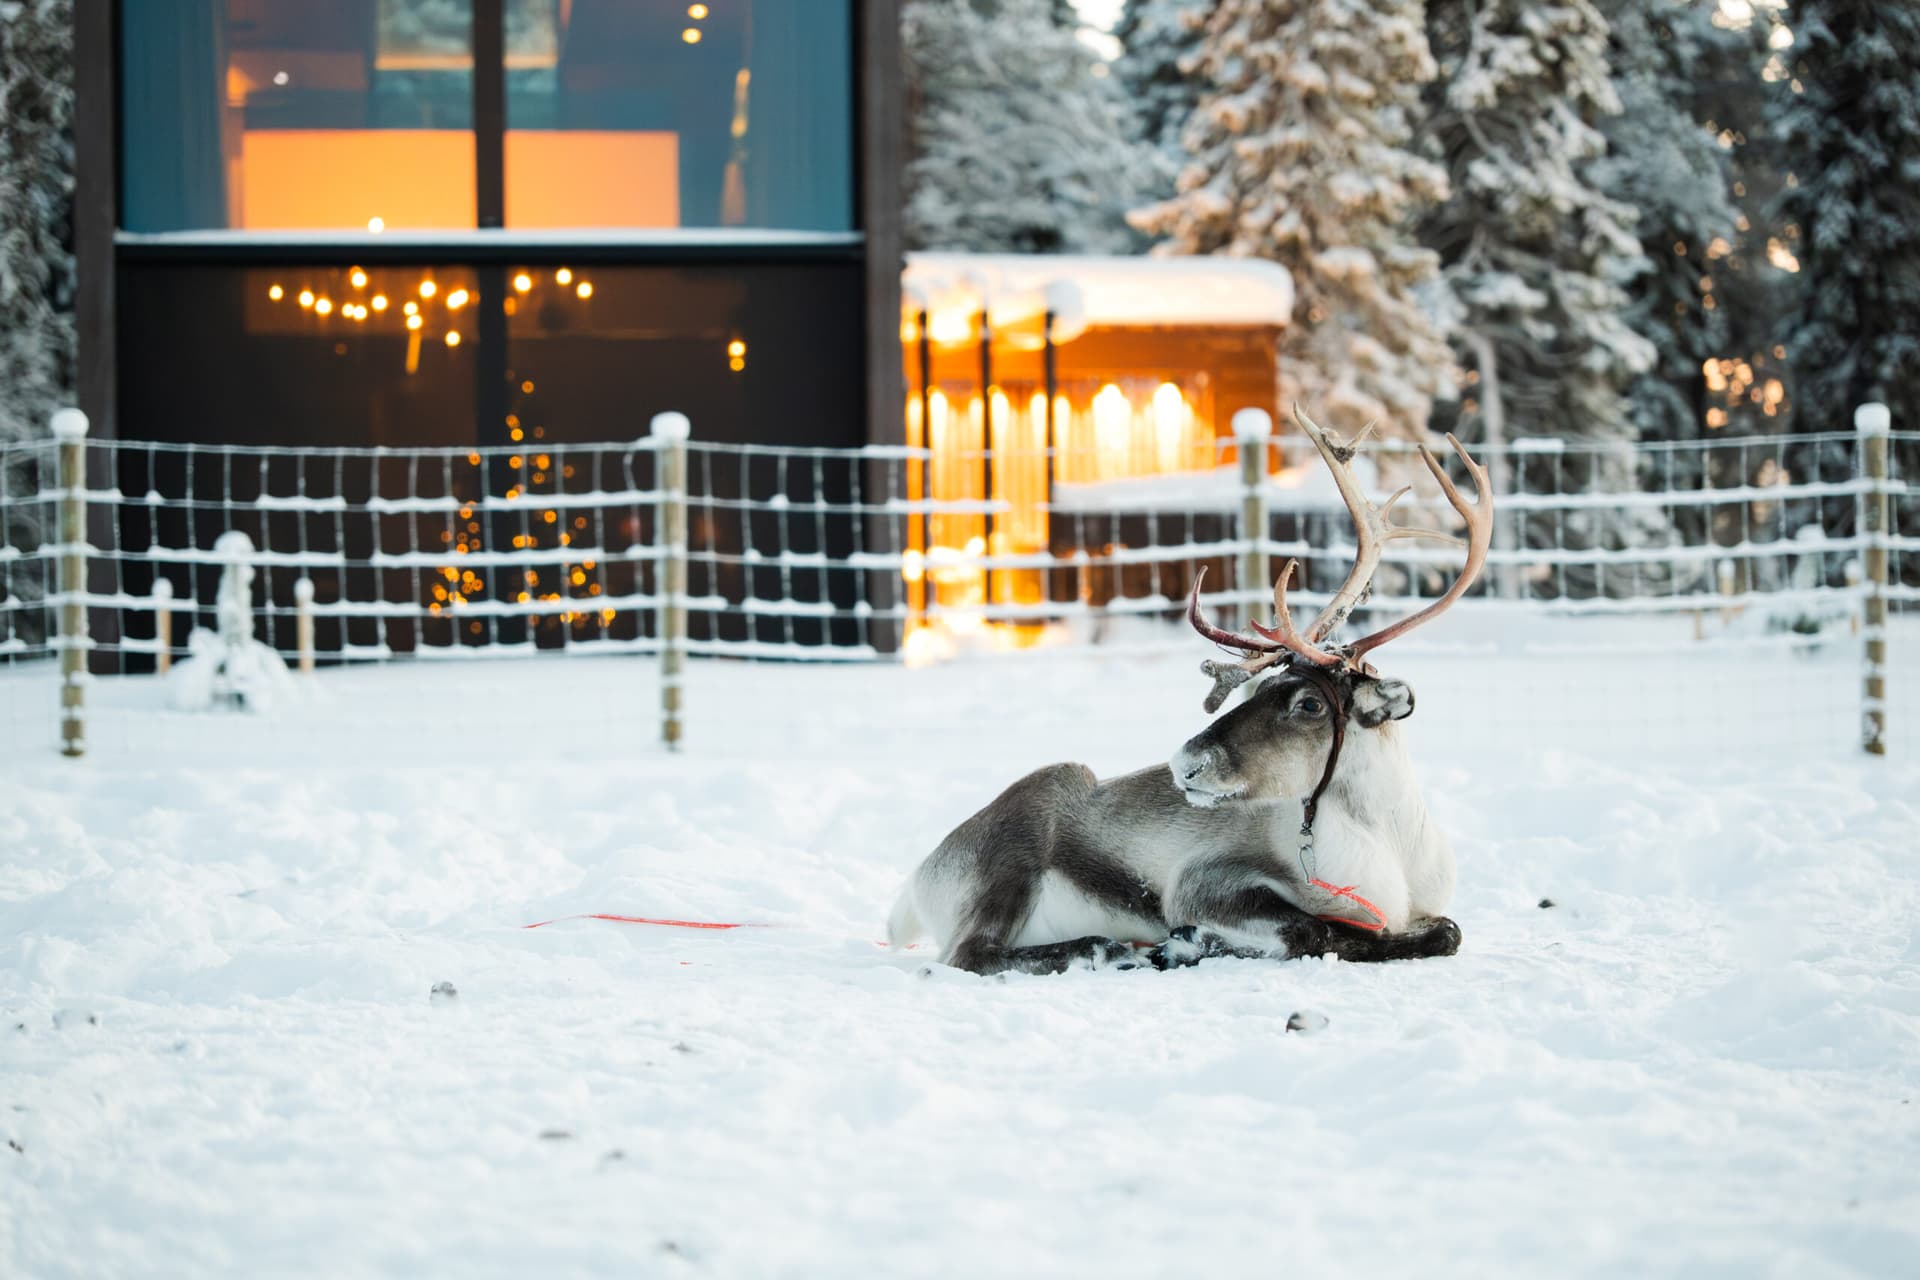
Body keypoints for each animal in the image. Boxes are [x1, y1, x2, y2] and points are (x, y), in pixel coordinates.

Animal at [887, 406, 1493, 975]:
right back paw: (1107, 949)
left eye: (1310, 703)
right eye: (1262, 688)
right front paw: (1185, 943)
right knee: (969, 954)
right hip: (1015, 852)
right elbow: (1312, 930)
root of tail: (917, 883)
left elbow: (1447, 931)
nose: (1185, 764)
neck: (1387, 841)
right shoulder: (1201, 884)